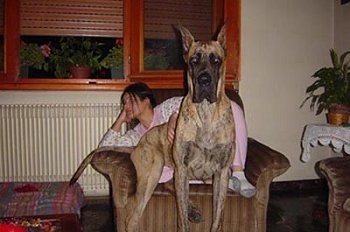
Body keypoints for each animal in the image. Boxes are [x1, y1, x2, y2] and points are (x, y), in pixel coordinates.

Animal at [70, 24, 235, 231]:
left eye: (216, 60)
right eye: (194, 61)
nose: (204, 80)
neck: (205, 112)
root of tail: (138, 144)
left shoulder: (222, 173)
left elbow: (217, 218)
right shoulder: (182, 169)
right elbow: (181, 218)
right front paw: (185, 216)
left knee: (169, 188)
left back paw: (193, 211)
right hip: (153, 172)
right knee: (132, 217)